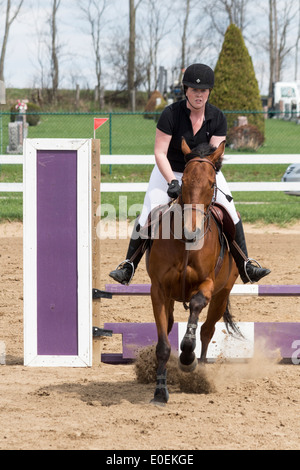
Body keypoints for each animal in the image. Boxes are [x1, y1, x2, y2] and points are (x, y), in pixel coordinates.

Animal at [147, 139, 239, 404]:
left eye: (211, 183)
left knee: (207, 330)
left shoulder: (207, 284)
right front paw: (160, 390)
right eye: (184, 182)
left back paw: (201, 371)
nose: (191, 230)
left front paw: (187, 357)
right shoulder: (158, 290)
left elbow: (197, 306)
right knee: (169, 325)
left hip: (222, 294)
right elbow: (163, 343)